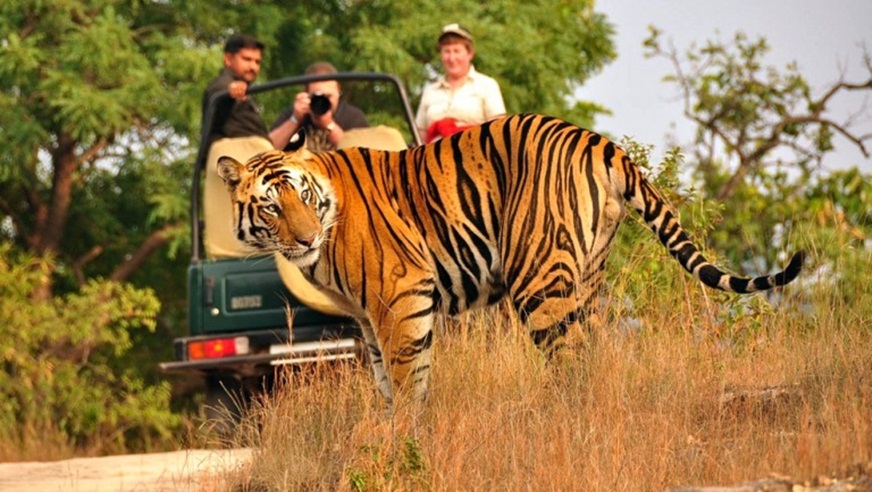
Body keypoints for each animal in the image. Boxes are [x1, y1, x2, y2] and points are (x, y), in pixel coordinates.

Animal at [218, 112, 804, 408]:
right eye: (271, 206)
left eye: (302, 197)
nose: (305, 239)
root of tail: (601, 141)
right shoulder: (368, 318)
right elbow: (387, 382)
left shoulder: (400, 298)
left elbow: (409, 382)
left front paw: (405, 443)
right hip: (587, 277)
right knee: (593, 354)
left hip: (538, 279)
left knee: (569, 361)